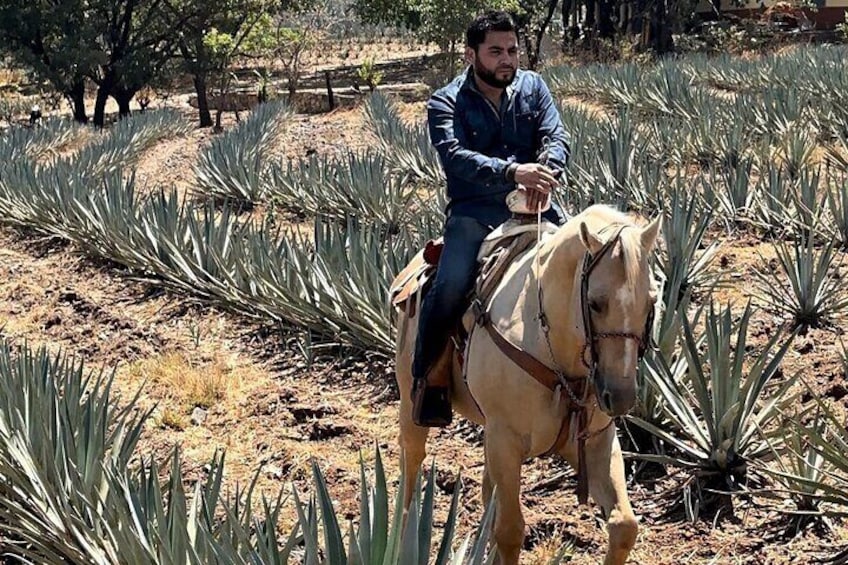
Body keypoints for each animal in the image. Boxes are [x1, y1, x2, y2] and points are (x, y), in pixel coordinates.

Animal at [394, 204, 660, 564]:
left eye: (651, 302)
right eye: (595, 302)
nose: (619, 396)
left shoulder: (596, 441)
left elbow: (624, 526)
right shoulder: (505, 440)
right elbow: (510, 531)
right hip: (412, 401)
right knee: (412, 460)